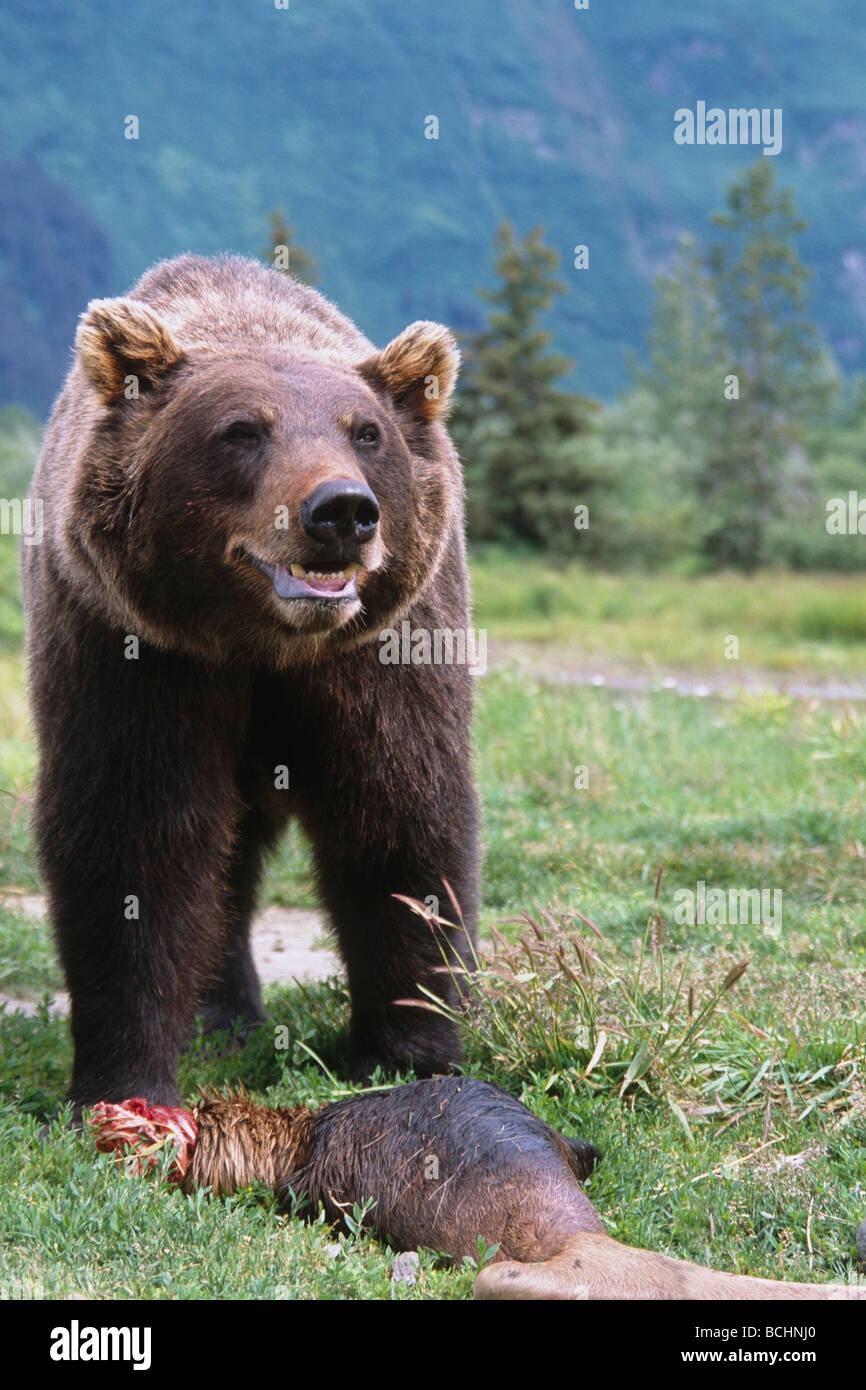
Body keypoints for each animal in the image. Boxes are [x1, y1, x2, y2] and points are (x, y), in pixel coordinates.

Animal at [22, 252, 480, 1106]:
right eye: (242, 431)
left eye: (365, 432)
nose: (341, 510)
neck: (264, 646)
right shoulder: (135, 654)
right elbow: (135, 838)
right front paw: (123, 1078)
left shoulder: (381, 656)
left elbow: (400, 815)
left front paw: (408, 1050)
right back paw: (220, 1012)